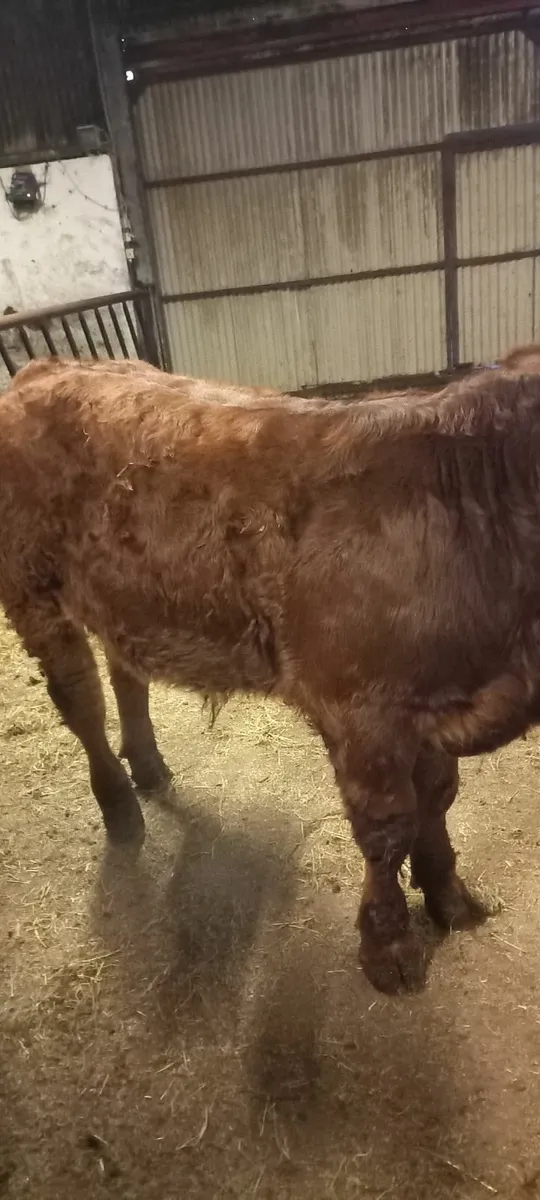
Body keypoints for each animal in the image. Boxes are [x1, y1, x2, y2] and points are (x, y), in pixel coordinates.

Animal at [2, 354, 540, 995]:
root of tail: (46, 368)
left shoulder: (430, 701)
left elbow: (436, 799)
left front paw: (449, 900)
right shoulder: (362, 710)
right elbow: (387, 831)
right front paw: (387, 948)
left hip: (117, 597)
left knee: (126, 676)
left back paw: (150, 768)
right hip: (32, 589)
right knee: (80, 700)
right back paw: (120, 808)